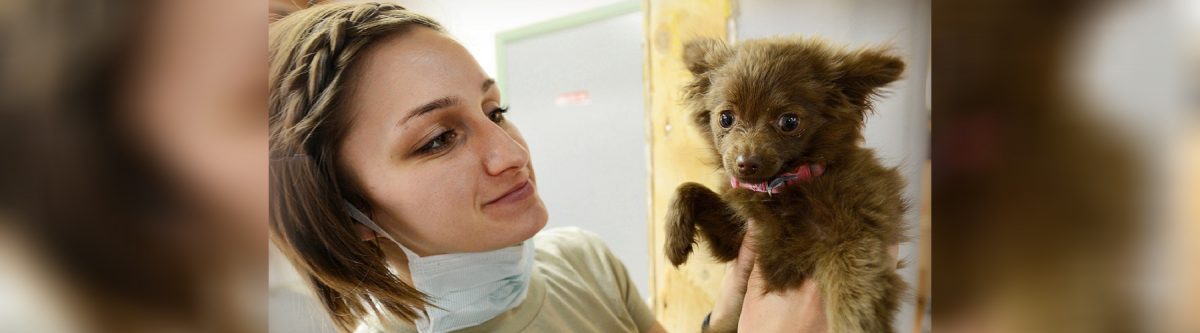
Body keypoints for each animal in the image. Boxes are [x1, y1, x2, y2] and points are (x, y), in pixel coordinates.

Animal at [667, 36, 907, 333]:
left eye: (789, 122)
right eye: (726, 118)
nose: (746, 163)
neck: (781, 189)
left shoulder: (857, 233)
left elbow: (854, 287)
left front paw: (854, 325)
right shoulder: (734, 242)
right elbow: (688, 188)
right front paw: (674, 241)